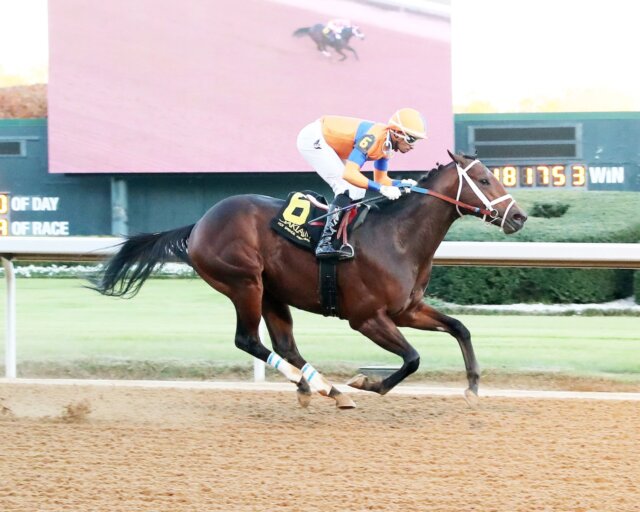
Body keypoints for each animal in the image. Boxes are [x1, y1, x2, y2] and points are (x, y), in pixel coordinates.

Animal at [92, 153, 528, 412]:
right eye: (484, 180)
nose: (519, 217)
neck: (397, 237)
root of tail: (198, 224)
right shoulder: (367, 318)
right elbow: (413, 358)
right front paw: (367, 382)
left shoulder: (408, 310)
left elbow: (460, 327)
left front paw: (472, 386)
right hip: (244, 283)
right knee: (248, 340)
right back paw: (317, 386)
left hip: (272, 292)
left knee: (284, 345)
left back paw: (322, 388)